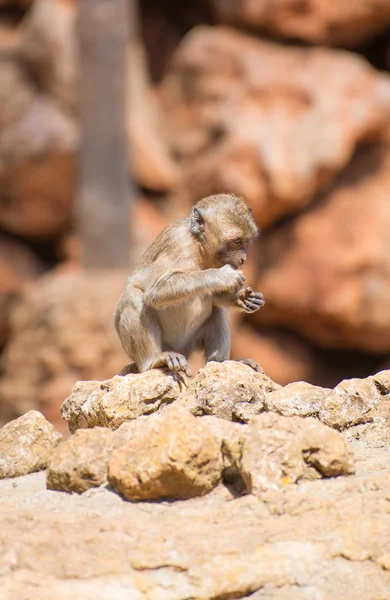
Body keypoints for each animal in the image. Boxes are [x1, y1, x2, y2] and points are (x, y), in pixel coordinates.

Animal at [115, 195, 266, 378]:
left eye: (246, 242)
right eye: (237, 241)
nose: (244, 259)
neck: (198, 246)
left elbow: (215, 296)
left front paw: (242, 298)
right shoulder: (178, 243)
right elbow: (156, 291)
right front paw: (223, 276)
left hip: (191, 342)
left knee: (217, 311)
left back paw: (220, 362)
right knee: (132, 296)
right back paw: (154, 361)